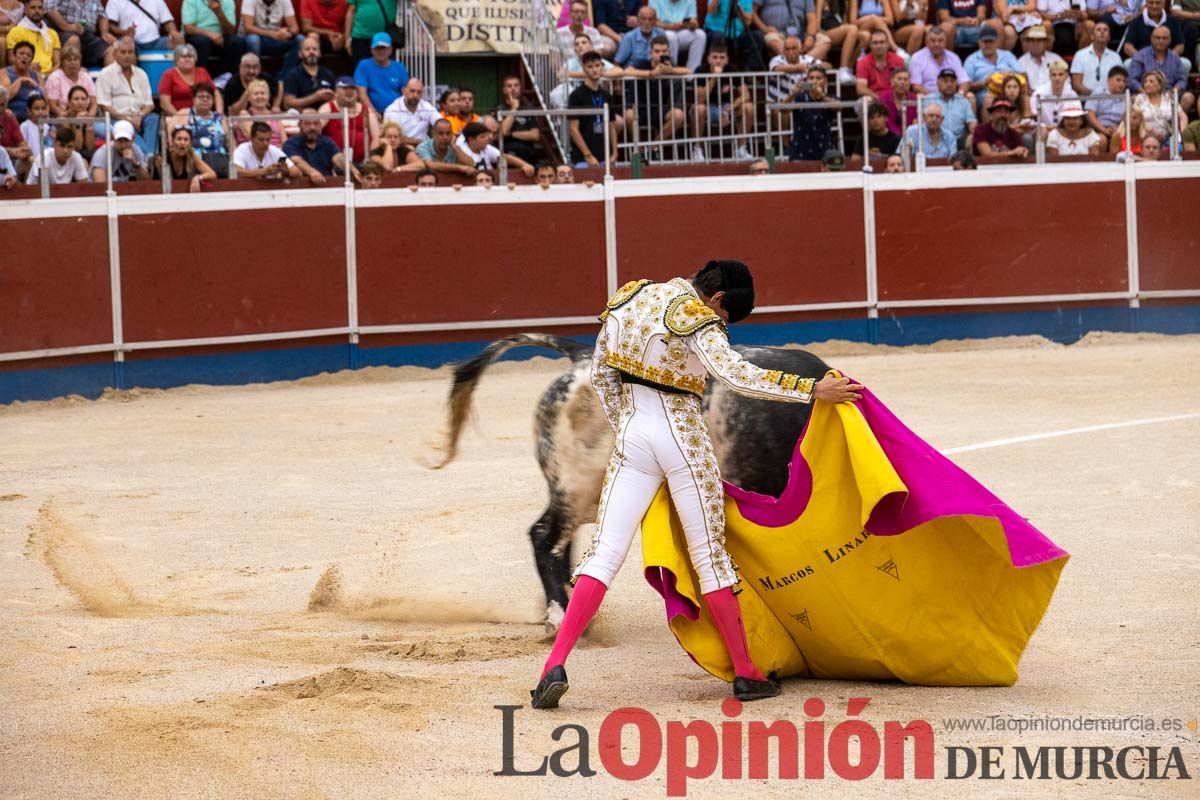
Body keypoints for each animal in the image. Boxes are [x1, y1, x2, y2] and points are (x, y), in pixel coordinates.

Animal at [434, 333, 835, 633]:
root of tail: (581, 357)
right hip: (576, 484)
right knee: (545, 536)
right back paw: (561, 616)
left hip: (588, 491)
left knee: (561, 539)